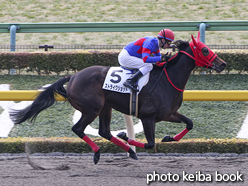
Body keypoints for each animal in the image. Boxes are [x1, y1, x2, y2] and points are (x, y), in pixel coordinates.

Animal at [10, 32, 227, 163]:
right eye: (205, 49)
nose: (223, 64)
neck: (168, 79)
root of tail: (72, 77)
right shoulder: (148, 117)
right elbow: (150, 143)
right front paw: (126, 136)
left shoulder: (169, 113)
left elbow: (189, 123)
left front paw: (168, 137)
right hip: (92, 109)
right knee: (78, 129)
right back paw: (99, 152)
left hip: (105, 107)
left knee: (104, 131)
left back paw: (127, 151)